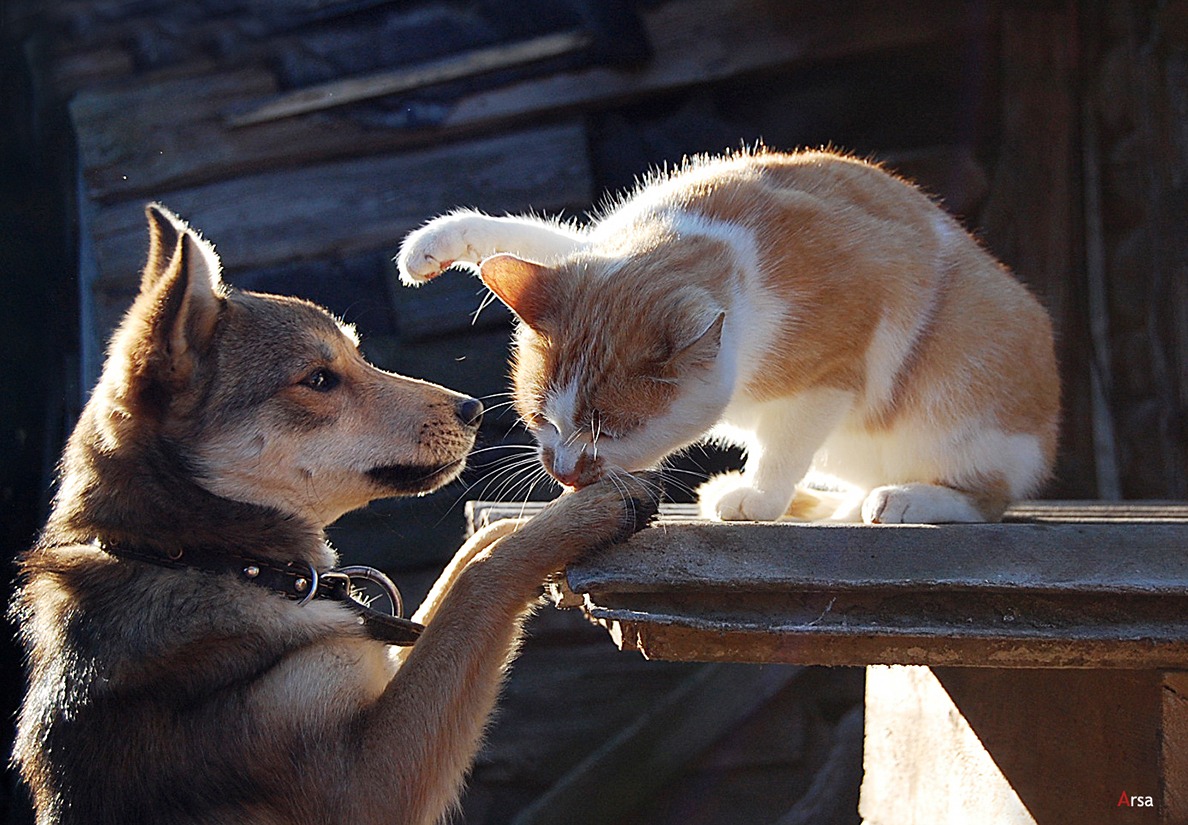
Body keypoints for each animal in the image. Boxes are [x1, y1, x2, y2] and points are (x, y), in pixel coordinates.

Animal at [9, 206, 660, 825]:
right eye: (319, 379)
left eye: (356, 356)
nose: (474, 409)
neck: (209, 558)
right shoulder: (362, 785)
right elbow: (481, 578)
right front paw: (591, 507)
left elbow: (470, 562)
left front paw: (539, 517)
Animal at [396, 148, 1059, 523]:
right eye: (542, 420)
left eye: (611, 431)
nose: (562, 472)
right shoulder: (596, 246)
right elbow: (536, 233)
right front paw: (436, 242)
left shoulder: (833, 370)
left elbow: (784, 444)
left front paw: (758, 499)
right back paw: (840, 506)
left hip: (959, 400)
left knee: (990, 496)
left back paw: (905, 500)